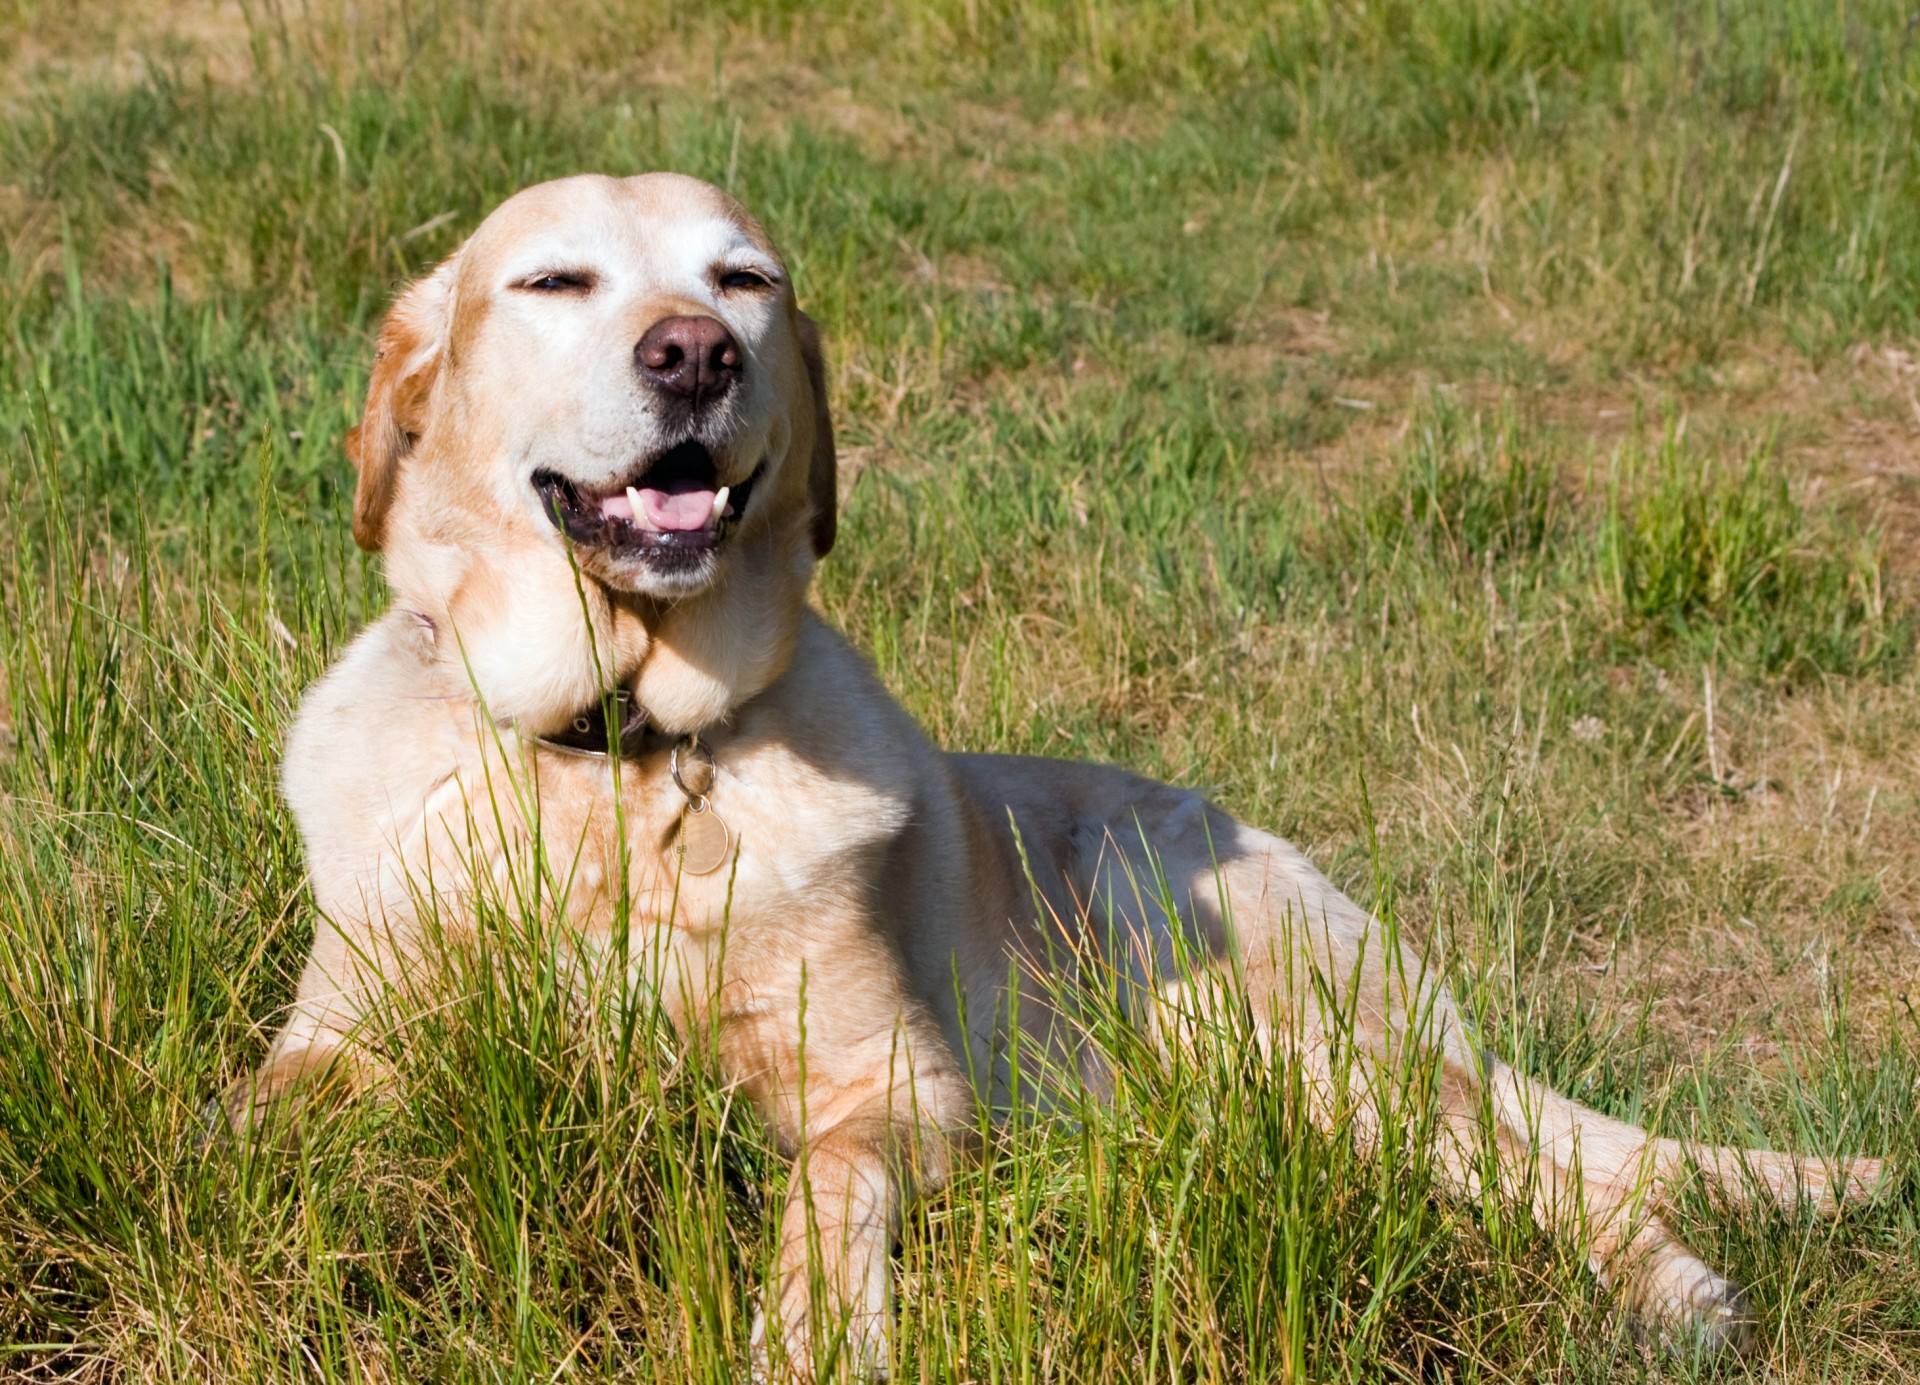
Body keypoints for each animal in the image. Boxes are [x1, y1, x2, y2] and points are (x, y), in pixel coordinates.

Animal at [232, 175, 1881, 1375]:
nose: (695, 353)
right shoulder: (344, 1034)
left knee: (1570, 1179)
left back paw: (1674, 1302)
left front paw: (815, 1336)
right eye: (556, 283)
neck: (620, 756)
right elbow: (254, 1120)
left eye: (744, 280)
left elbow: (829, 1192)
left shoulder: (896, 1084)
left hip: (1223, 986)